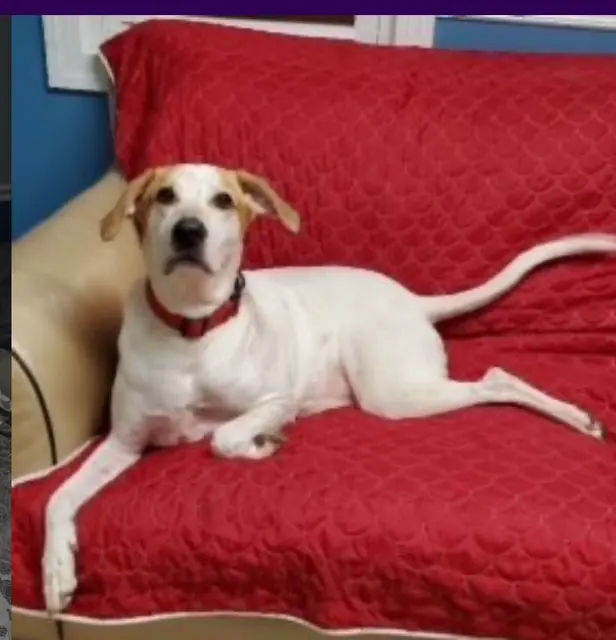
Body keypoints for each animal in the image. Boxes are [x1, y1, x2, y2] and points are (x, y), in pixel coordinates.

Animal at [43, 165, 616, 616]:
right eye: (165, 196)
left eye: (223, 200)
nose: (189, 231)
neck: (190, 327)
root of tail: (413, 299)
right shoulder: (123, 442)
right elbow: (59, 496)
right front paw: (56, 569)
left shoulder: (276, 399)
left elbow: (223, 436)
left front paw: (261, 442)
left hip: (393, 392)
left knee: (498, 379)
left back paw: (575, 418)